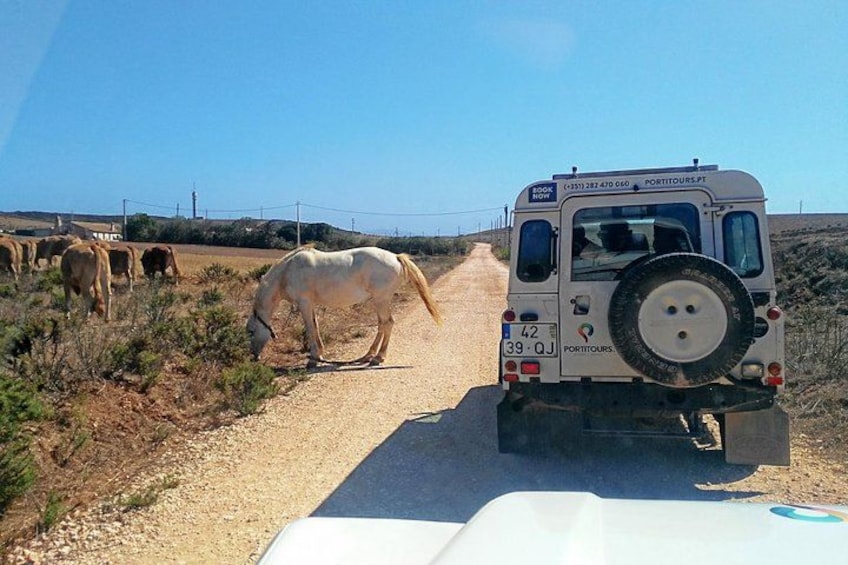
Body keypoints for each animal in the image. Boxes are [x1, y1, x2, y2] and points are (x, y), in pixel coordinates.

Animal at [247, 246, 442, 367]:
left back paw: (378, 357)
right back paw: (369, 355)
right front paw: (320, 354)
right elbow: (315, 327)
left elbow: (310, 328)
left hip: (381, 299)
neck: (287, 271)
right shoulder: (310, 305)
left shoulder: (304, 303)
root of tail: (396, 257)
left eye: (250, 331)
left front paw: (313, 359)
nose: (254, 356)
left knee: (387, 324)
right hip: (379, 301)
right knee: (382, 324)